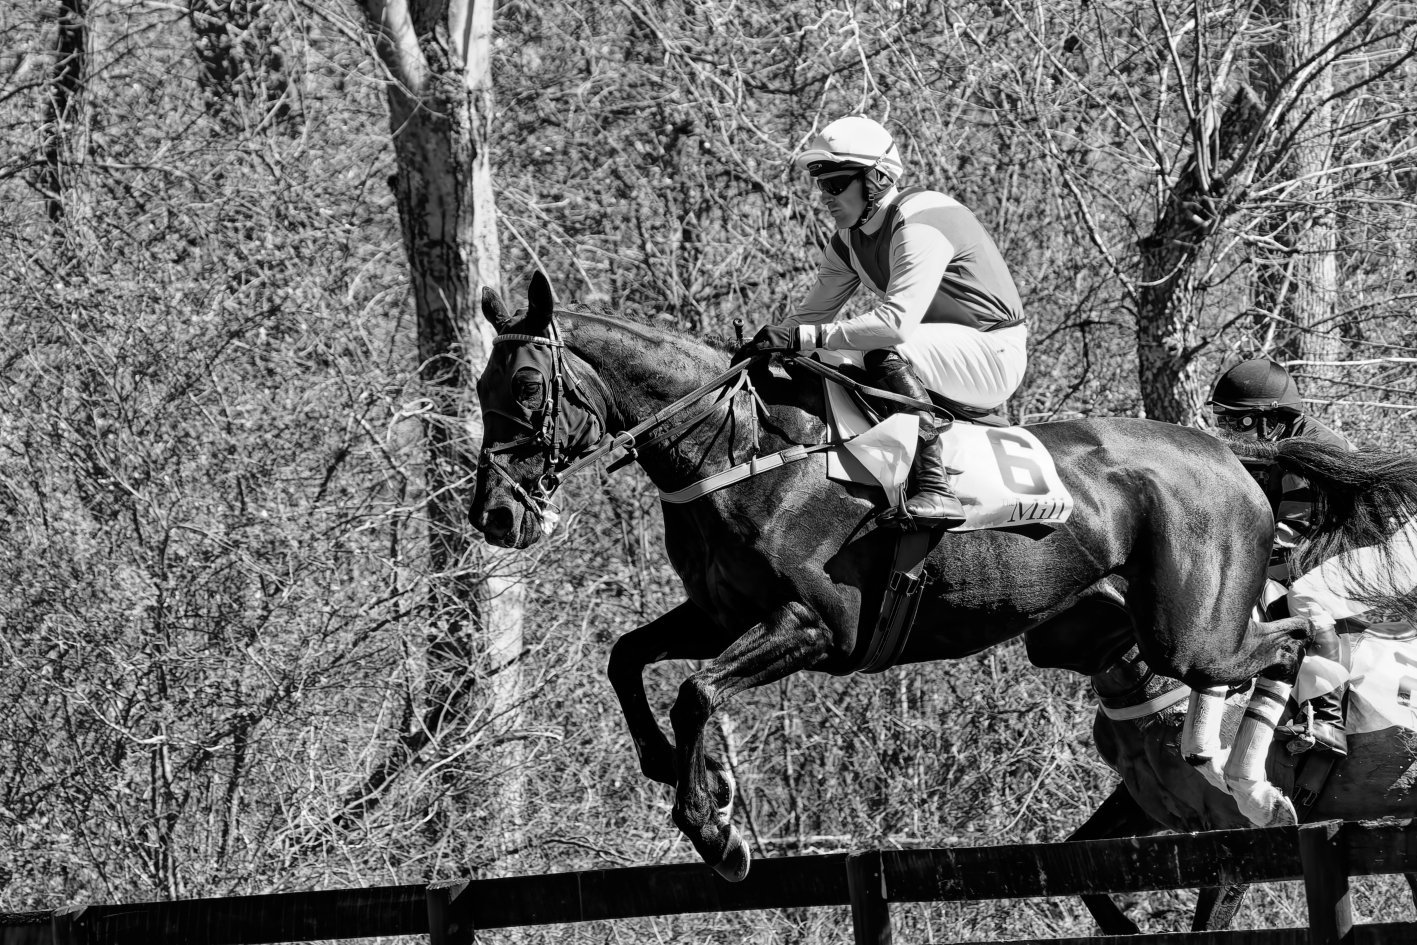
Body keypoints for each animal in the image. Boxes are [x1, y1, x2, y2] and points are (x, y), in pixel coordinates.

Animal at [471, 271, 1417, 880]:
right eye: (482, 388)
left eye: (523, 386)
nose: (495, 516)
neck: (742, 449)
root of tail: (1230, 454)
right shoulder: (716, 612)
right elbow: (627, 658)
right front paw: (675, 769)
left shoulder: (814, 625)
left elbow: (696, 690)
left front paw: (713, 821)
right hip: (1140, 627)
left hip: (1192, 630)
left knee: (1296, 637)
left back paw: (1260, 777)